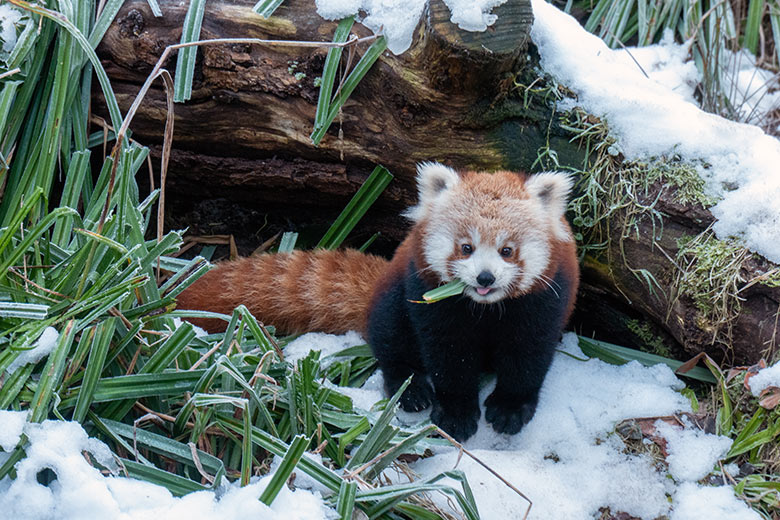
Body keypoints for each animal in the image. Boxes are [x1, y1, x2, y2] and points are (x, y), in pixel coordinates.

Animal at [178, 165, 580, 440]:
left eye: (507, 250)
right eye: (466, 247)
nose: (485, 278)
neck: (484, 308)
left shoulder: (545, 299)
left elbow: (528, 354)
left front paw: (510, 408)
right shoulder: (429, 296)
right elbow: (448, 355)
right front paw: (455, 411)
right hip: (393, 296)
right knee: (392, 339)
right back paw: (411, 390)